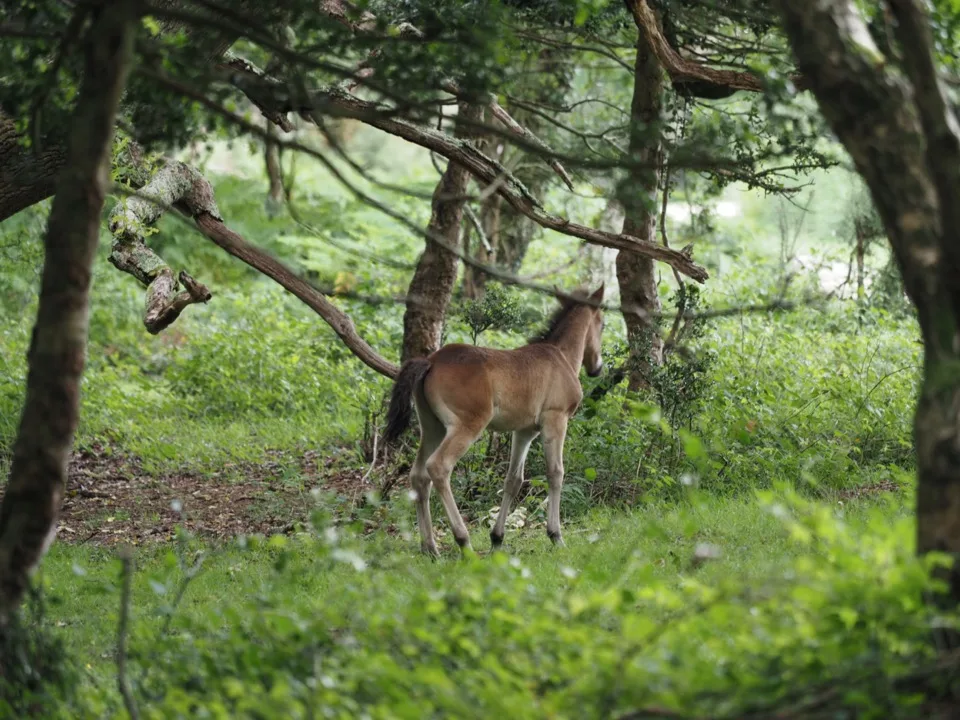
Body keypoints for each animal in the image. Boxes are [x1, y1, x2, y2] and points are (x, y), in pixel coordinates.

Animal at [383, 284, 605, 556]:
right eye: (603, 324)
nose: (596, 368)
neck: (560, 356)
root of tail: (431, 361)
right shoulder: (556, 419)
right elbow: (555, 473)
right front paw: (556, 535)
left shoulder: (524, 431)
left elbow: (513, 480)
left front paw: (497, 538)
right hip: (467, 425)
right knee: (438, 466)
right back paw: (463, 540)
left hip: (432, 427)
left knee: (418, 476)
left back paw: (430, 548)